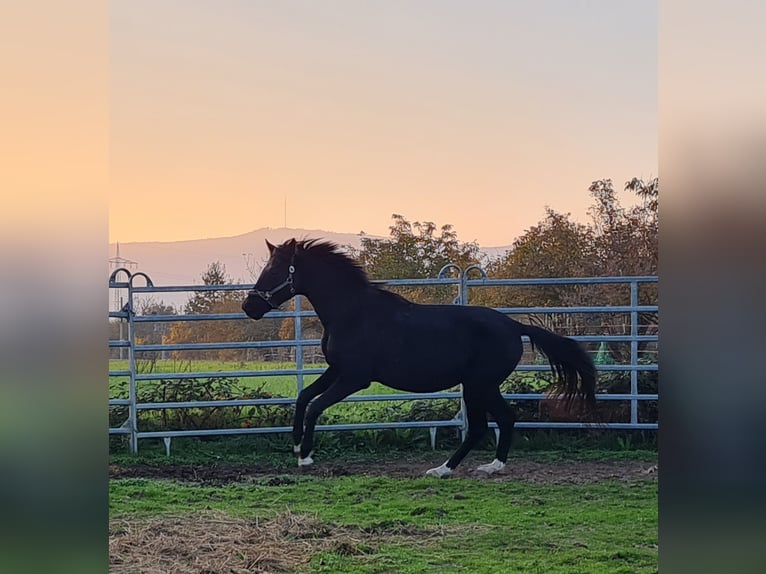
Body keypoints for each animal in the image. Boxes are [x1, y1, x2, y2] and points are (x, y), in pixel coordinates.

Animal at [243, 238, 596, 476]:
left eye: (276, 269)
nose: (249, 307)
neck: (352, 313)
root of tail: (514, 325)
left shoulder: (355, 378)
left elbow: (316, 406)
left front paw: (305, 455)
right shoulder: (336, 370)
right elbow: (304, 397)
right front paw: (296, 444)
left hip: (479, 385)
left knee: (492, 423)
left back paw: (465, 468)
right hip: (478, 387)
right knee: (492, 423)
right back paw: (461, 468)